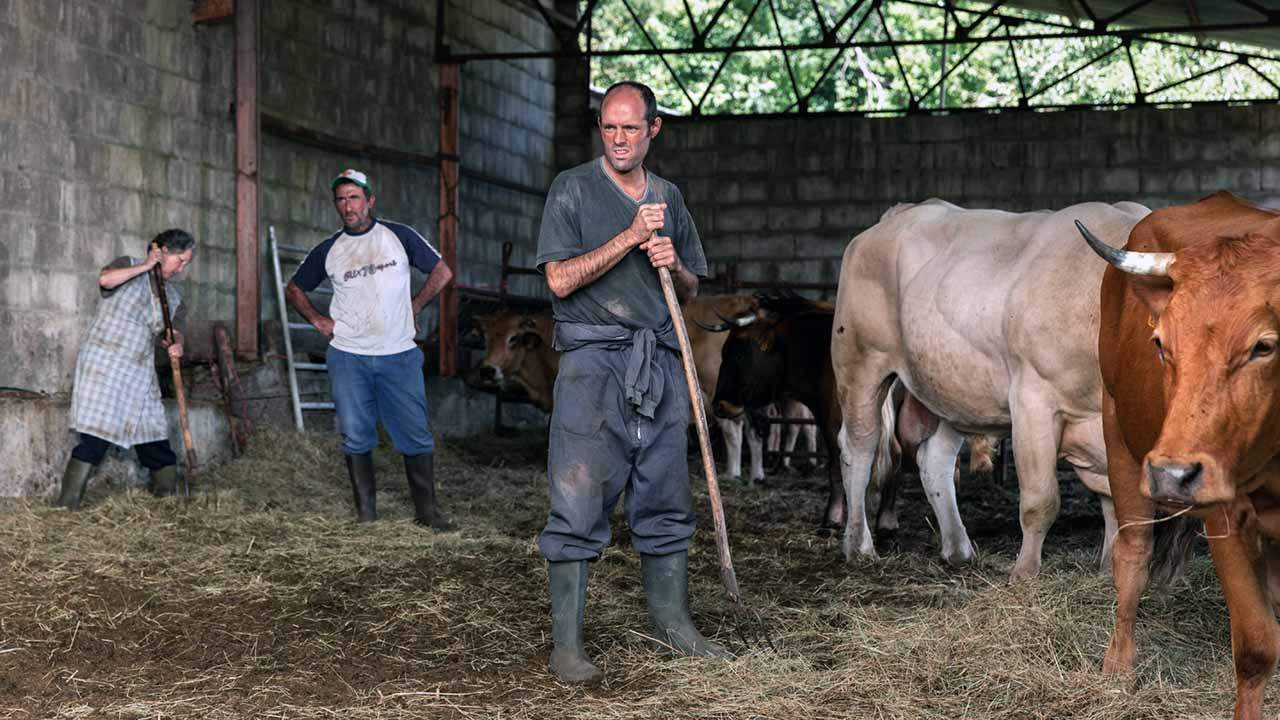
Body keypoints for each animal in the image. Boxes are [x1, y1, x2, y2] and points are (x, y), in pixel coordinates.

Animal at [1080, 190, 1280, 717]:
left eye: (1264, 346)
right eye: (1160, 343)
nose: (1174, 474)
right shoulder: (1225, 514)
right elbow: (1255, 646)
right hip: (1120, 437)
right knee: (1132, 555)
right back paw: (1118, 669)